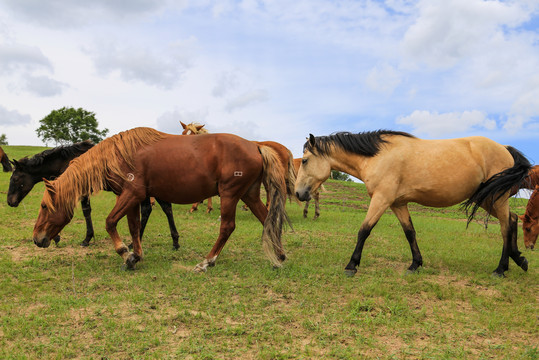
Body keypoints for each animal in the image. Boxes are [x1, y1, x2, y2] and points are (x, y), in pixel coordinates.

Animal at [6, 140, 179, 248]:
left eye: (15, 179)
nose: (9, 202)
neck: (66, 161)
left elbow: (85, 211)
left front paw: (85, 239)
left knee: (149, 209)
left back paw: (136, 242)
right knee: (165, 207)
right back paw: (175, 241)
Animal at [33, 128, 294, 272]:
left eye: (44, 206)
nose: (37, 239)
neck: (118, 155)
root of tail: (256, 146)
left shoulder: (131, 194)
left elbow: (110, 222)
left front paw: (125, 253)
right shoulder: (132, 198)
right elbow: (134, 227)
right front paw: (135, 256)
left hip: (230, 195)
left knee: (227, 227)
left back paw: (207, 262)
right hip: (249, 195)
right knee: (266, 219)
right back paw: (279, 256)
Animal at [298, 131, 532, 278]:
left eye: (305, 160)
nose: (299, 193)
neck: (378, 156)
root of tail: (504, 148)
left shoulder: (381, 199)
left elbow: (364, 230)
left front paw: (351, 266)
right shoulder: (397, 204)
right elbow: (410, 232)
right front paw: (415, 264)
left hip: (496, 199)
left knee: (505, 227)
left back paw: (500, 269)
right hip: (486, 199)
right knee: (512, 220)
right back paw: (518, 260)